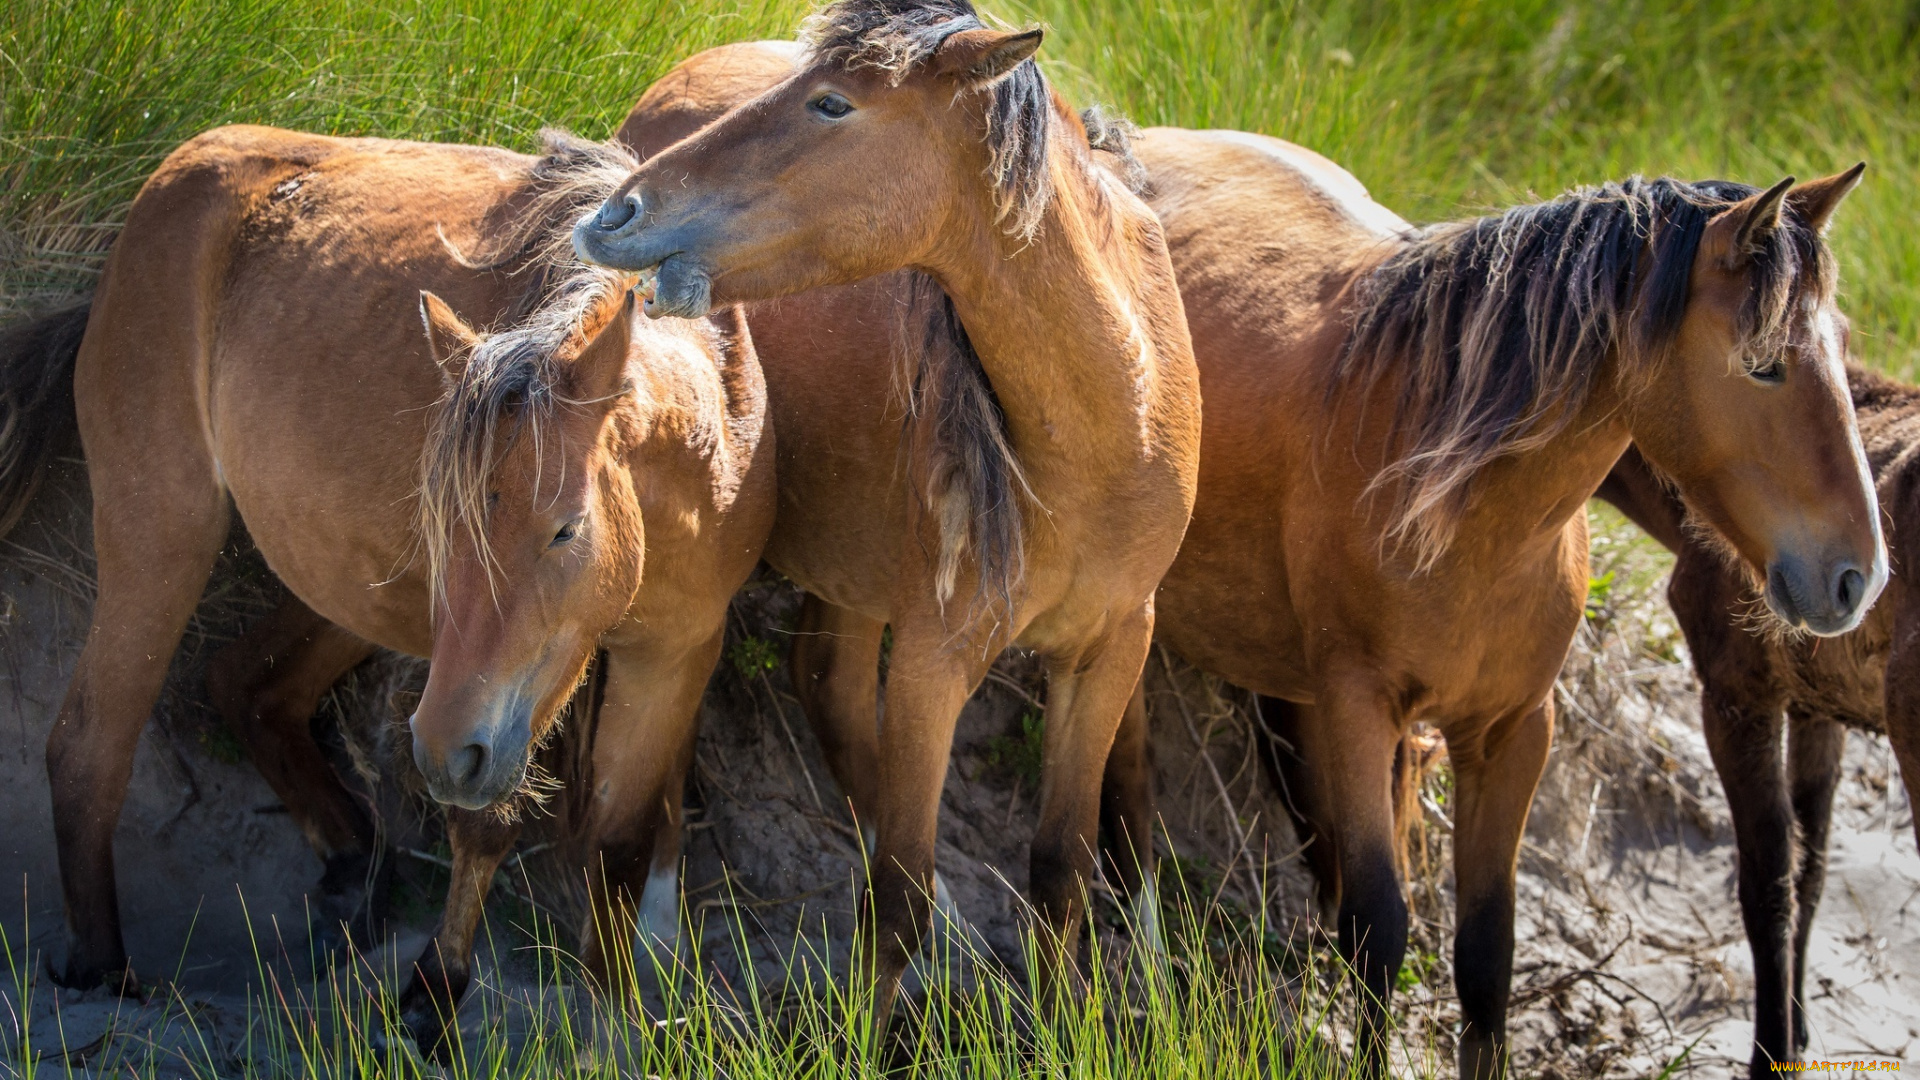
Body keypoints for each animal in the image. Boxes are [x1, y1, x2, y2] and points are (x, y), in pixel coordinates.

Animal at [0, 125, 771, 1053]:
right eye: (445, 524)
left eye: (565, 529)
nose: (445, 753)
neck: (701, 447)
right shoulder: (477, 697)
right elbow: (483, 821)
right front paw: (435, 992)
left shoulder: (675, 654)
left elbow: (618, 844)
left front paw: (618, 1013)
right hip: (163, 535)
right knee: (88, 745)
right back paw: (104, 973)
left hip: (343, 595)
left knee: (247, 685)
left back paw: (352, 879)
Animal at [1589, 367, 1920, 1068]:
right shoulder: (1820, 711)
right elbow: (1811, 874)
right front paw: (1797, 1029)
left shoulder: (1735, 695)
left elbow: (1765, 887)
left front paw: (1771, 1051)